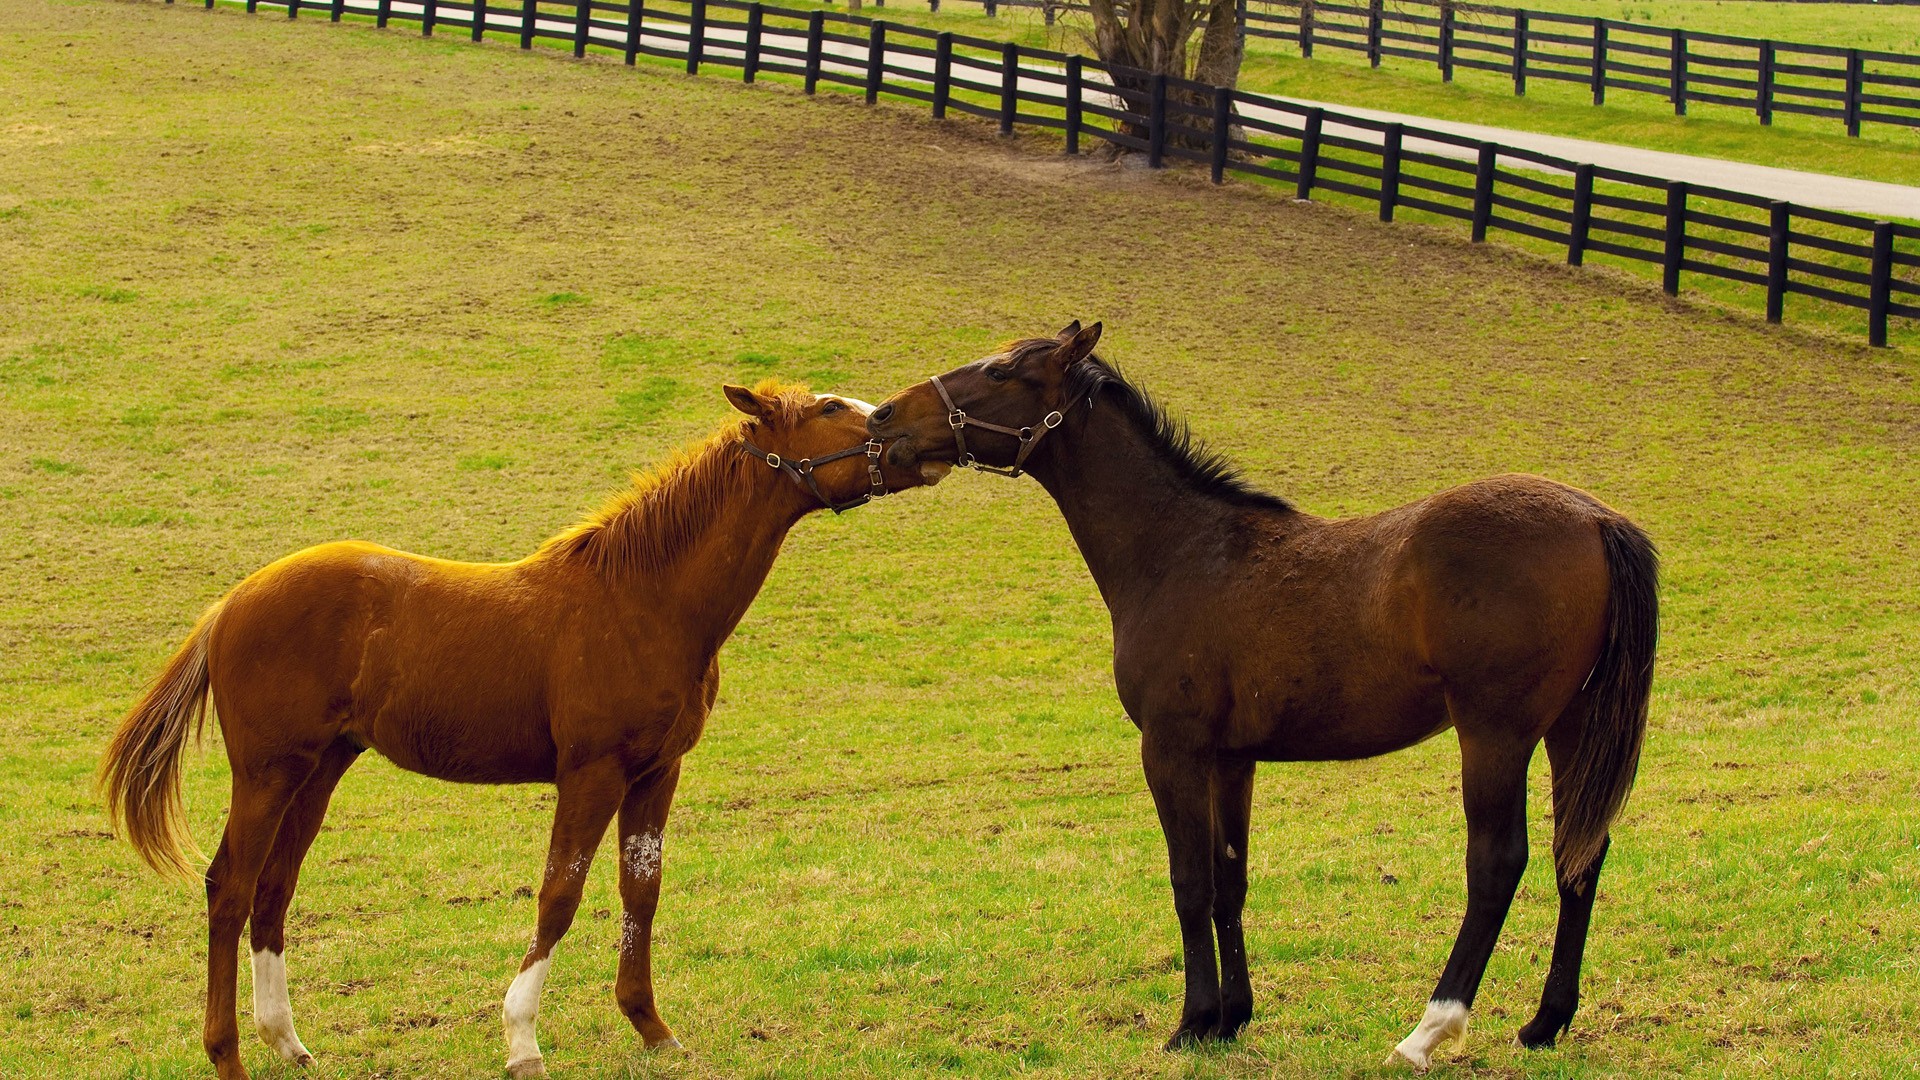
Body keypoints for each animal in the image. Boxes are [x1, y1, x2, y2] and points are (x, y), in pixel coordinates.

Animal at [103, 380, 944, 1076]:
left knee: (274, 890)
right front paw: (521, 1041)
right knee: (230, 887)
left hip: (320, 769)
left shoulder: (657, 771)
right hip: (268, 772)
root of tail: (231, 604)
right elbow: (559, 897)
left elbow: (642, 891)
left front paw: (653, 1029)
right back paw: (229, 1055)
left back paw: (288, 1043)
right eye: (831, 407)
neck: (643, 599)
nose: (919, 437)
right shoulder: (591, 772)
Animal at [864, 320, 1658, 1068]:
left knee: (1498, 863)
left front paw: (1191, 1022)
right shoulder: (1231, 759)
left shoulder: (1173, 751)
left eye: (1001, 372)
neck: (1178, 549)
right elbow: (1229, 880)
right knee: (1579, 854)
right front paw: (1231, 1016)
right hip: (1571, 729)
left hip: (1496, 736)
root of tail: (1596, 518)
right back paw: (1545, 1023)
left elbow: (1189, 881)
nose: (884, 417)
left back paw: (1427, 1031)